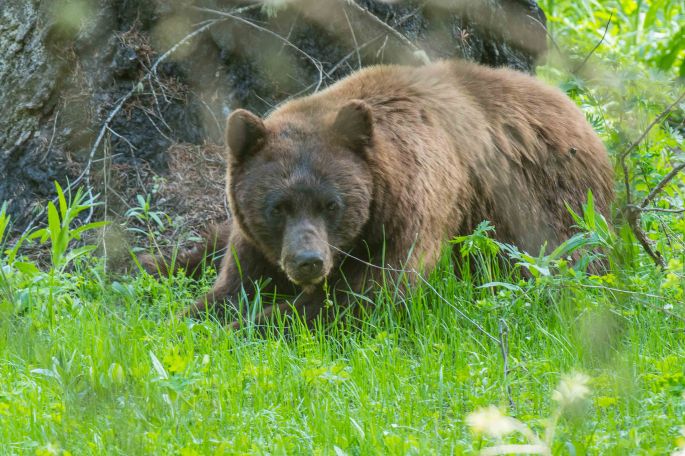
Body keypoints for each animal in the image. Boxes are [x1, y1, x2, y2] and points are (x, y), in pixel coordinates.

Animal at [149, 59, 614, 327]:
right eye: (278, 206)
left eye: (331, 204)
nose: (308, 261)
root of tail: (578, 112)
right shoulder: (257, 243)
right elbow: (232, 289)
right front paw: (187, 321)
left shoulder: (408, 218)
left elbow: (363, 297)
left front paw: (249, 326)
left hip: (549, 204)